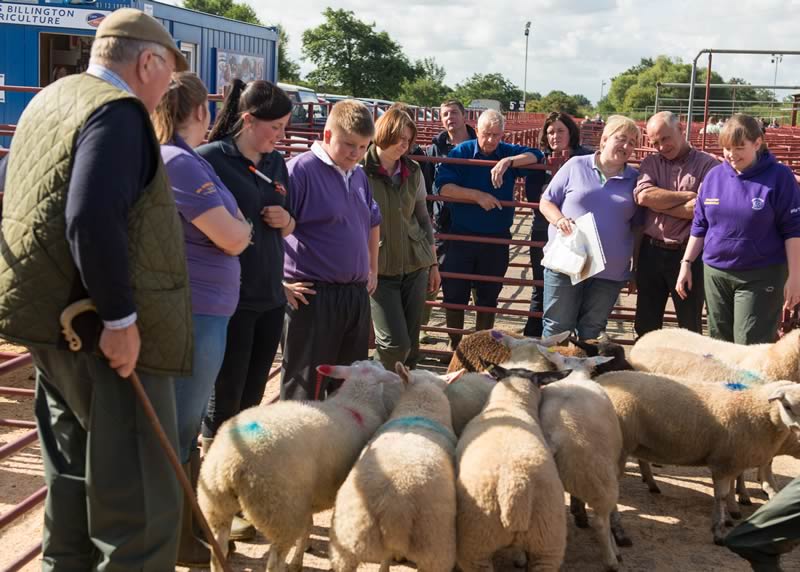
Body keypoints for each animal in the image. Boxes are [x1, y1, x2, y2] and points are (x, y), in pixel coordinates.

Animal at [197, 362, 401, 572]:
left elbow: (307, 527)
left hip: (215, 503)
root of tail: (230, 463)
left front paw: (299, 559)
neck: (356, 403)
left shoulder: (308, 498)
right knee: (275, 561)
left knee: (218, 552)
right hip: (281, 510)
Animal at [594, 370, 800, 545]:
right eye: (787, 406)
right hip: (617, 450)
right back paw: (619, 532)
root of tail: (598, 380)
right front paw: (719, 531)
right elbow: (721, 496)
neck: (754, 407)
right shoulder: (723, 462)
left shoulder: (732, 461)